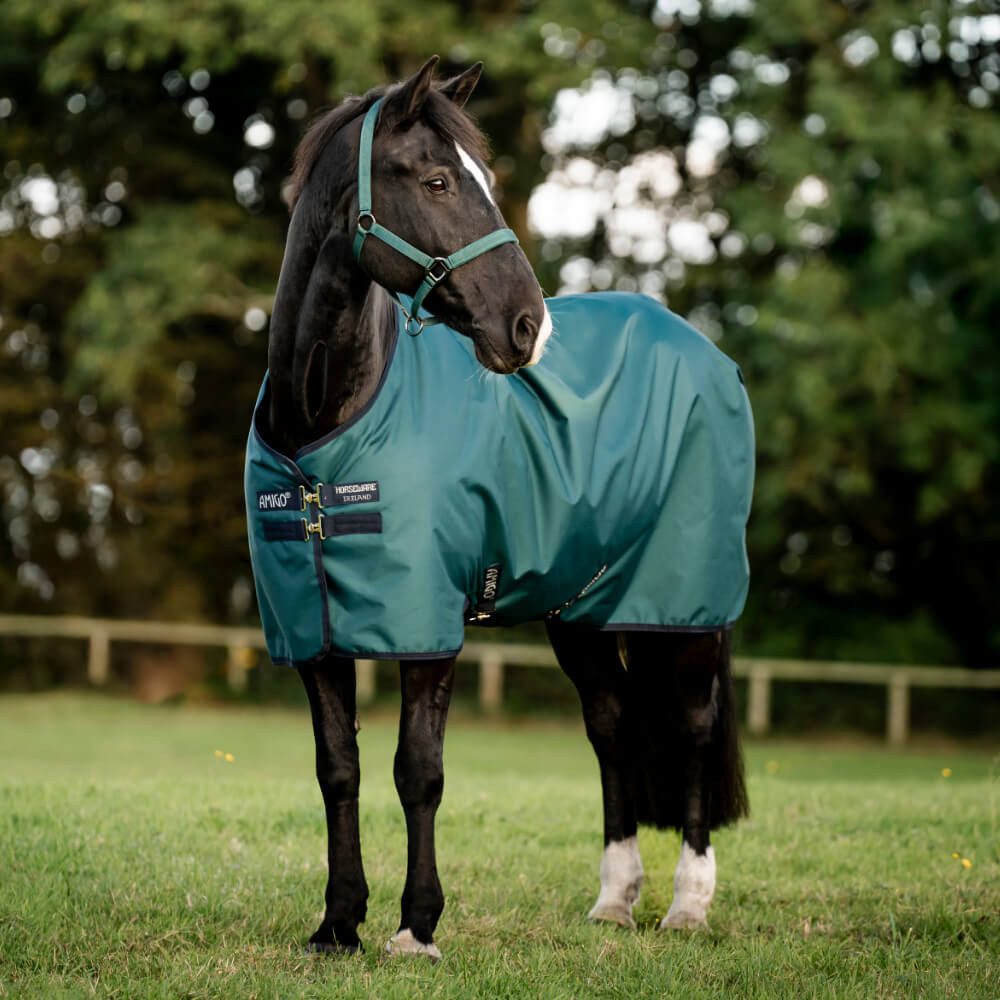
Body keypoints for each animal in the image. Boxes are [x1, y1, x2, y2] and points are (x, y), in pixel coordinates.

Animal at [245, 56, 752, 960]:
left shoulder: (428, 627)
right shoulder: (313, 631)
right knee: (612, 723)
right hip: (582, 610)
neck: (324, 430)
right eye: (439, 180)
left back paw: (688, 903)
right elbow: (338, 770)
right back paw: (614, 900)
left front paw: (416, 927)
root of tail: (705, 351)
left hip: (687, 607)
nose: (527, 327)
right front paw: (338, 923)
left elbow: (418, 771)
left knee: (692, 727)